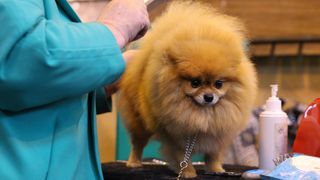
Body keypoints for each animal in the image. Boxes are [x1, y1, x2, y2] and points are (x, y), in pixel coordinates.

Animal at [117, 0, 258, 177]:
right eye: (195, 83)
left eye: (218, 84)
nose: (209, 97)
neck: (202, 114)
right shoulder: (175, 137)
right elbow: (182, 157)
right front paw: (188, 172)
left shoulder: (217, 136)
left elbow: (213, 155)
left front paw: (216, 170)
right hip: (138, 123)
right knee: (137, 144)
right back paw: (134, 163)